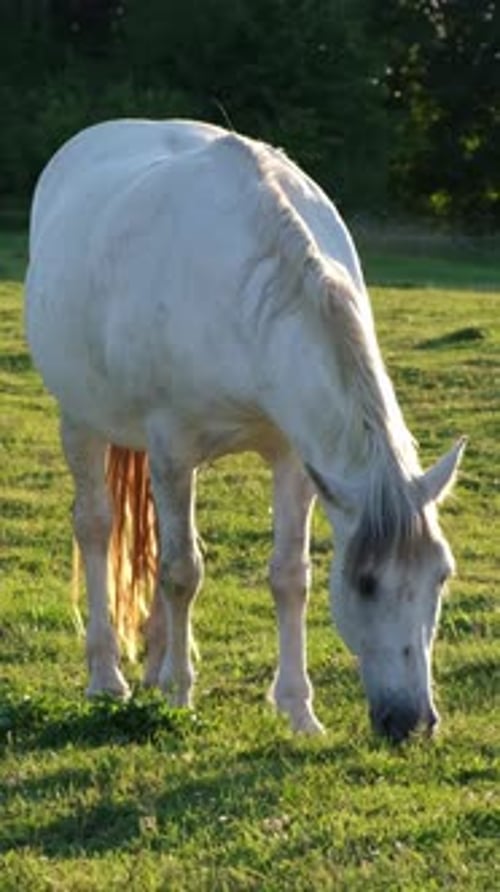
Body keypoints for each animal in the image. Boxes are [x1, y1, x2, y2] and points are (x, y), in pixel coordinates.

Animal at [25, 119, 465, 742]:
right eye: (365, 583)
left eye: (442, 576)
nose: (412, 722)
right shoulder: (172, 449)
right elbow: (182, 573)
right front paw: (180, 698)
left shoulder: (295, 461)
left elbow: (289, 577)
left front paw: (299, 710)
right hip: (82, 422)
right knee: (96, 527)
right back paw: (108, 677)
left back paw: (156, 664)